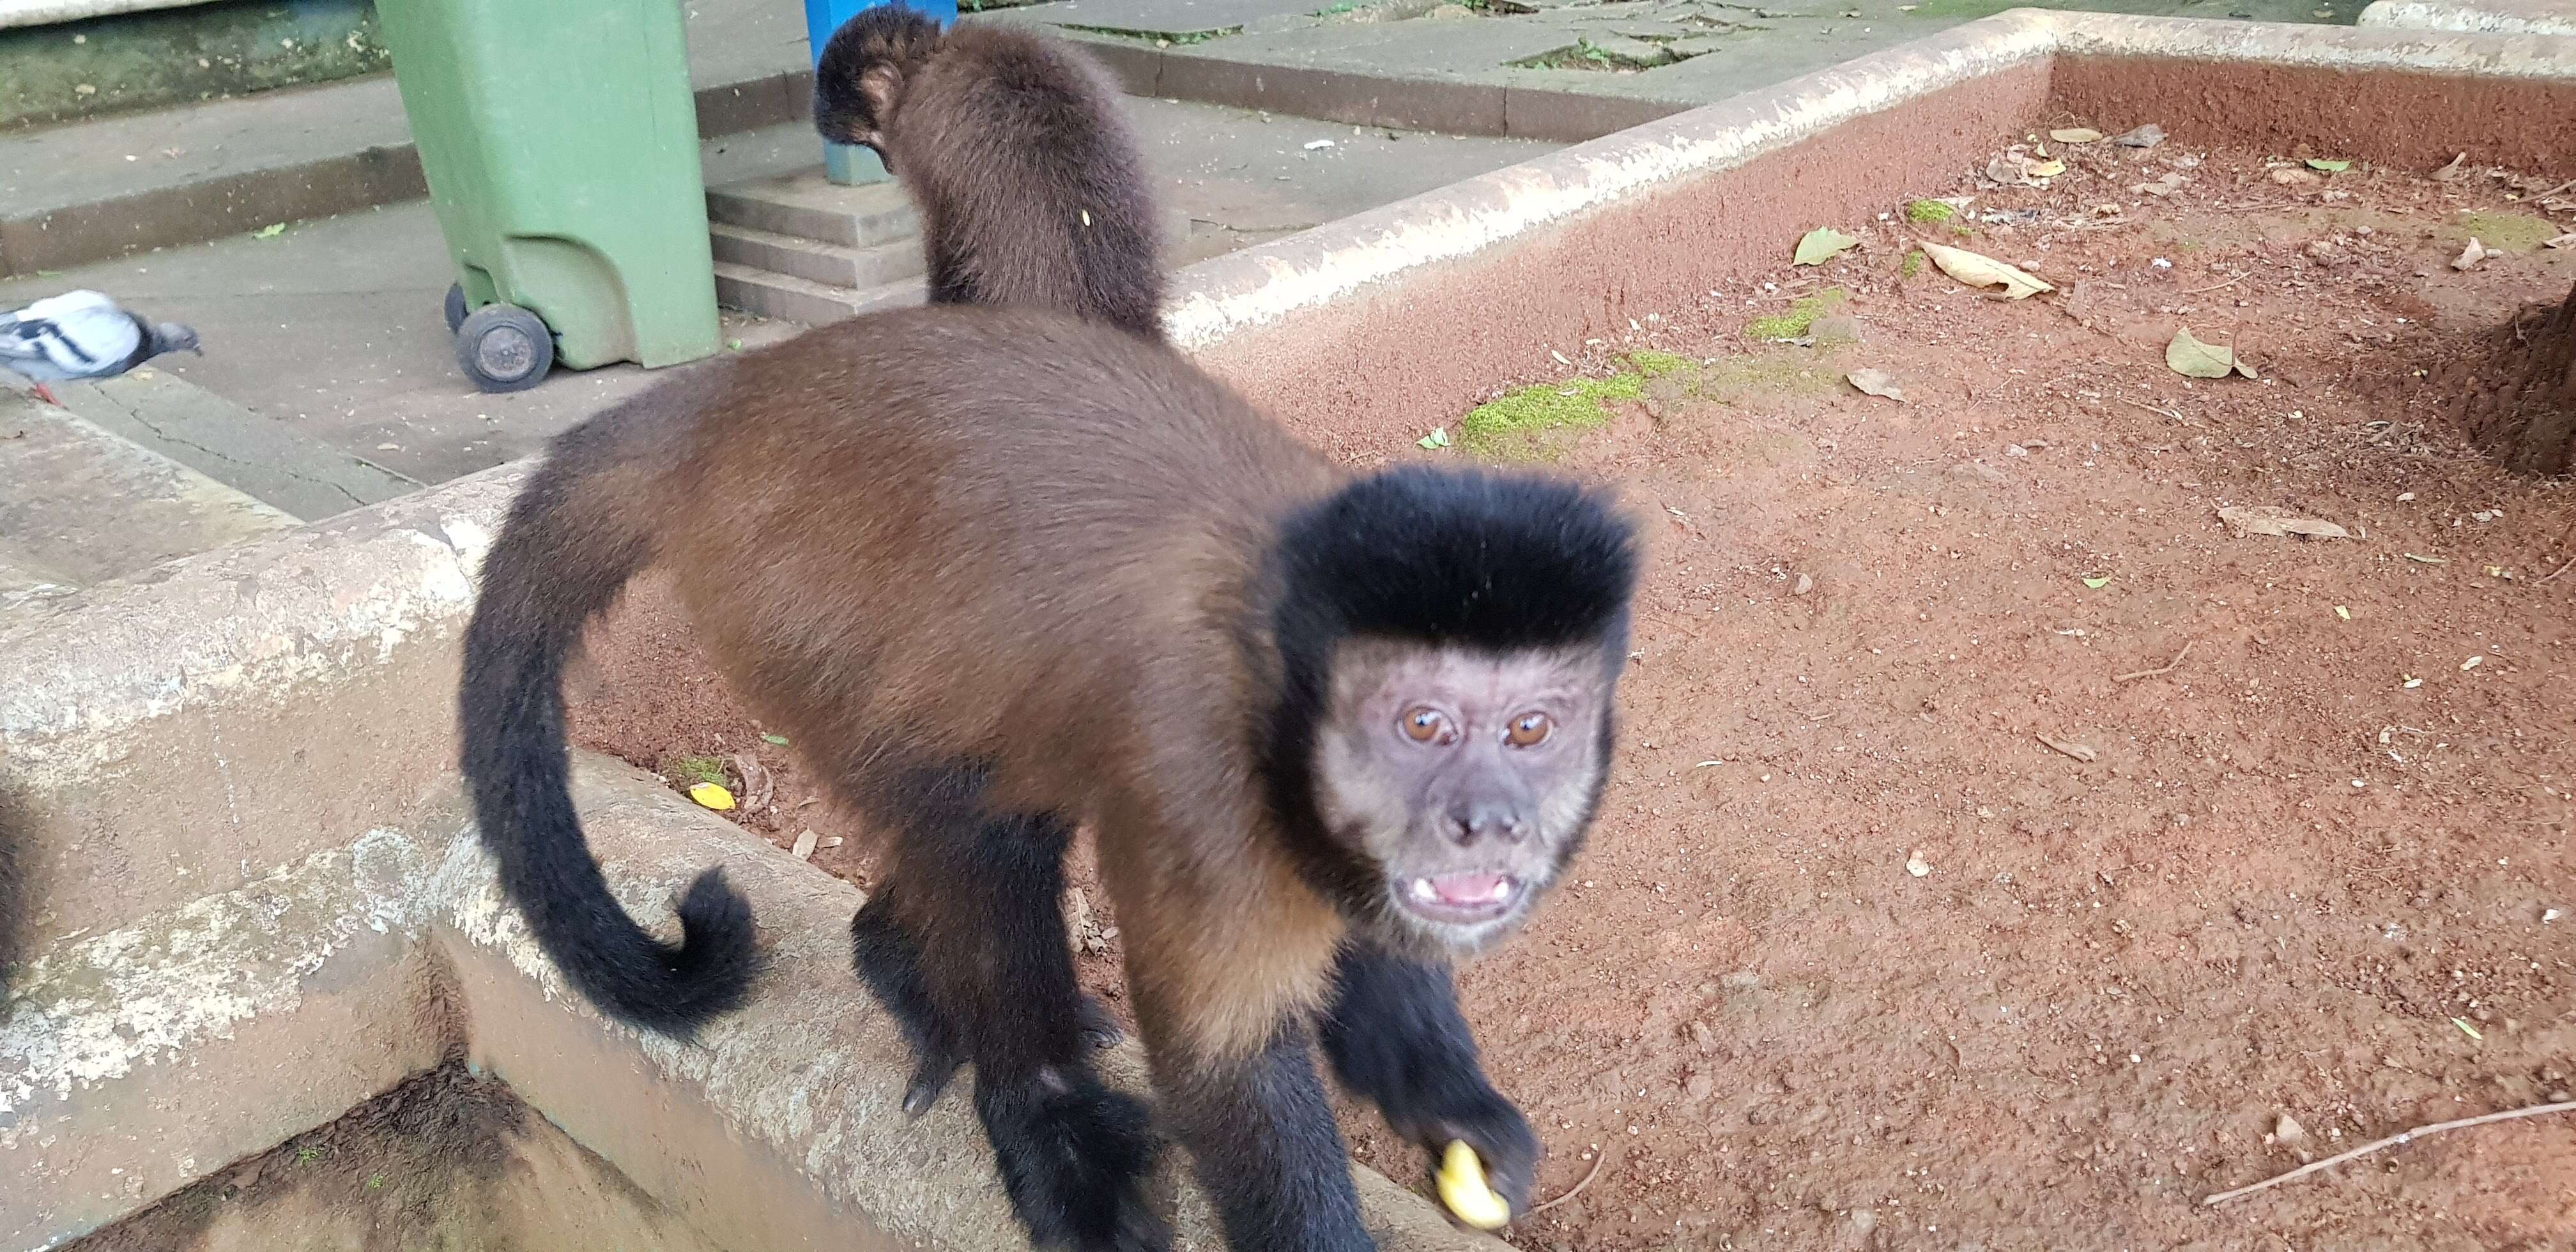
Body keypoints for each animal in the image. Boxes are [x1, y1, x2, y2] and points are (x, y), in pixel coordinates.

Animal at [461, 305, 1628, 1252]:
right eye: (1421, 725)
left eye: (1532, 730)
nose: (1487, 819)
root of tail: (725, 402)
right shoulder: (1205, 770)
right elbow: (1223, 1071)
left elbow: (1382, 956)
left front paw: (1451, 1110)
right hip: (791, 608)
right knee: (978, 832)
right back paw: (1044, 1118)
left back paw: (900, 964)